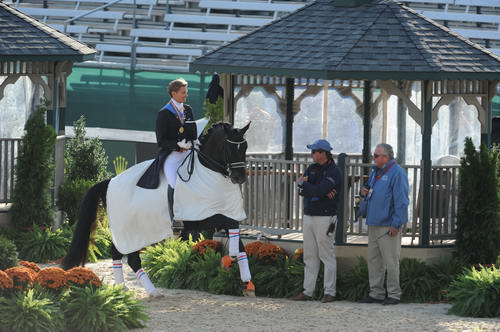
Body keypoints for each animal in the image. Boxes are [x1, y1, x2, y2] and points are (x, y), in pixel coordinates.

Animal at [61, 121, 254, 296]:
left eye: (245, 147)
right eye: (229, 149)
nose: (239, 178)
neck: (207, 172)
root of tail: (110, 181)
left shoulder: (220, 216)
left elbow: (238, 236)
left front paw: (247, 281)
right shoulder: (203, 218)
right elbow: (234, 227)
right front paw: (232, 257)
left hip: (138, 232)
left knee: (126, 256)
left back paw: (138, 289)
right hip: (128, 230)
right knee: (122, 254)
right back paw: (132, 290)